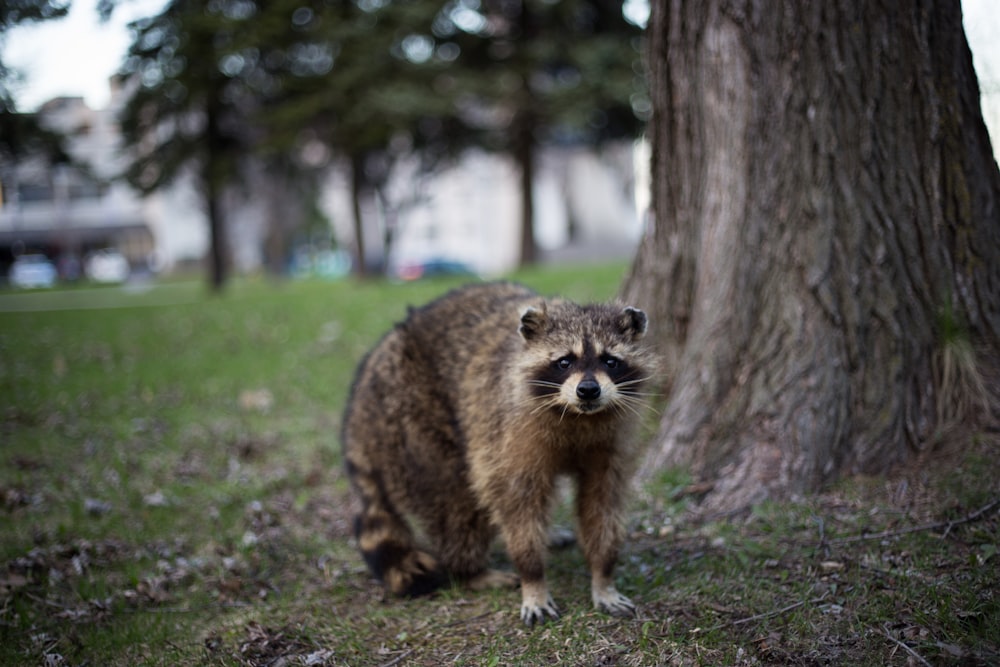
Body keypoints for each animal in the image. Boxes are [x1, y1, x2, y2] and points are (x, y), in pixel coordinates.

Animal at [342, 282, 656, 628]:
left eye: (610, 361)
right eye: (564, 362)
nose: (588, 390)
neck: (577, 415)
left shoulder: (612, 440)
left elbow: (603, 502)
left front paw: (603, 574)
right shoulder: (507, 431)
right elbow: (516, 500)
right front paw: (533, 577)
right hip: (410, 415)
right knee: (455, 500)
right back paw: (470, 571)